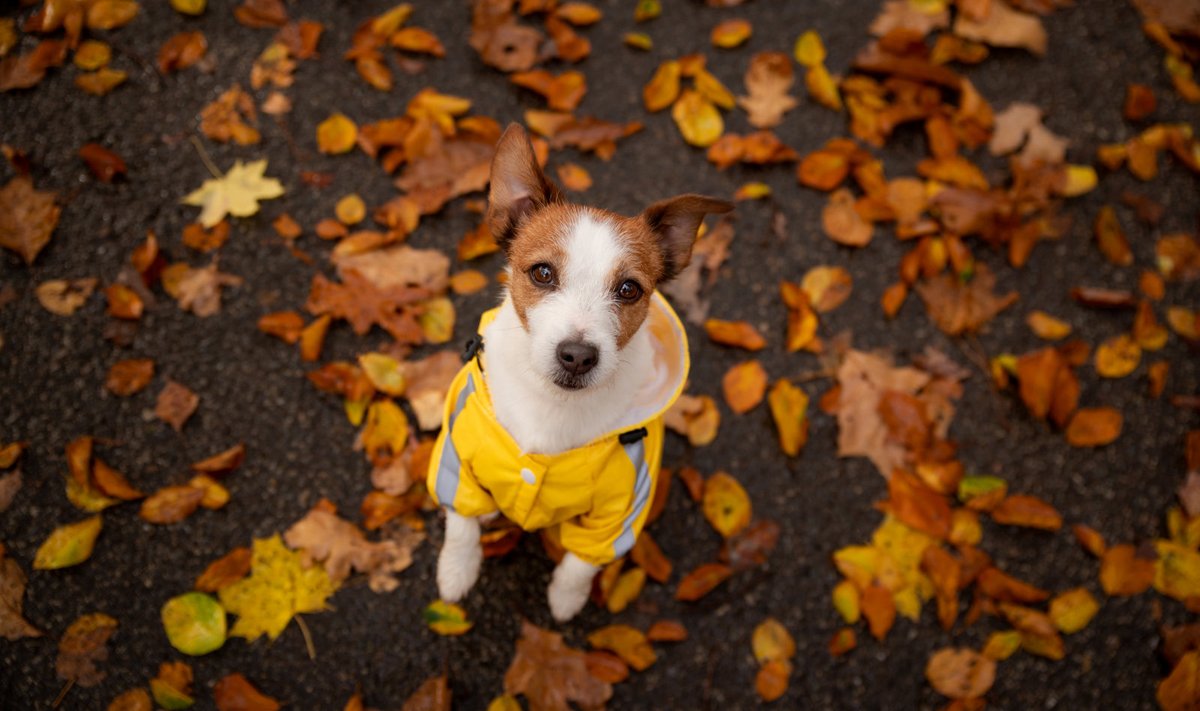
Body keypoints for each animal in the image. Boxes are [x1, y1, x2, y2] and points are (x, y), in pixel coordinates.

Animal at [432, 123, 729, 624]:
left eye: (629, 289)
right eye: (542, 273)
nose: (577, 356)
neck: (555, 407)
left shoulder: (618, 510)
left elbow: (579, 564)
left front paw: (565, 600)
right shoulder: (458, 457)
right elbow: (461, 523)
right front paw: (456, 571)